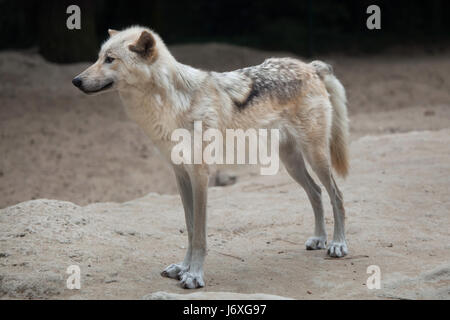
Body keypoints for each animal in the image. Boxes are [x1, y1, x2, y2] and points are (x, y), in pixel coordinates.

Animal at [73, 26, 352, 288]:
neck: (172, 106)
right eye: (98, 58)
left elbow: (199, 235)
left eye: (110, 59)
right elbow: (189, 229)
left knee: (337, 194)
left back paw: (337, 244)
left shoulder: (201, 176)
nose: (76, 80)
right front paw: (182, 268)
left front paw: (194, 275)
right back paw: (319, 239)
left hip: (315, 157)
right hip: (292, 163)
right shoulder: (181, 174)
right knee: (316, 192)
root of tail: (310, 66)